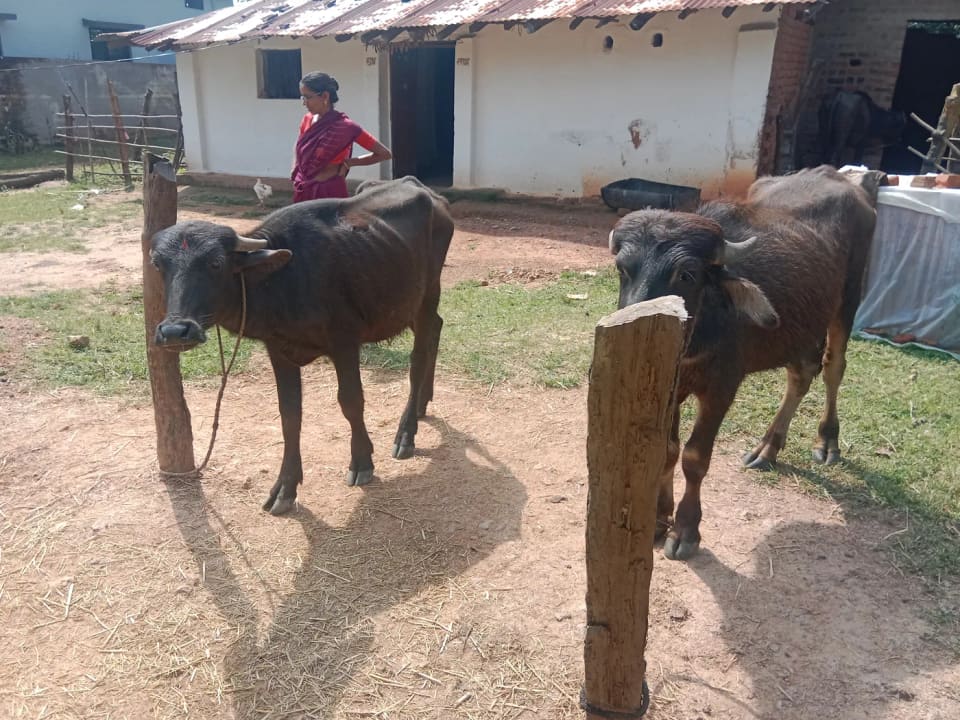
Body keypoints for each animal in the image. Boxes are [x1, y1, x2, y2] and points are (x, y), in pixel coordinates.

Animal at [151, 176, 454, 515]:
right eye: (158, 264)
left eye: (216, 263)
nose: (175, 331)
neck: (283, 279)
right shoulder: (278, 351)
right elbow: (289, 415)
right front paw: (285, 487)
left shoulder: (345, 343)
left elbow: (351, 402)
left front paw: (361, 460)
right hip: (407, 304)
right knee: (436, 329)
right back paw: (423, 403)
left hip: (427, 294)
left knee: (418, 357)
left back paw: (406, 432)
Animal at [609, 166, 879, 560]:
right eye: (623, 268)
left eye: (686, 274)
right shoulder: (671, 387)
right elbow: (668, 452)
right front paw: (659, 518)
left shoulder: (721, 388)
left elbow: (694, 458)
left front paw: (685, 529)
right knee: (801, 374)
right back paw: (767, 448)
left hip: (848, 299)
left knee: (833, 367)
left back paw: (827, 441)